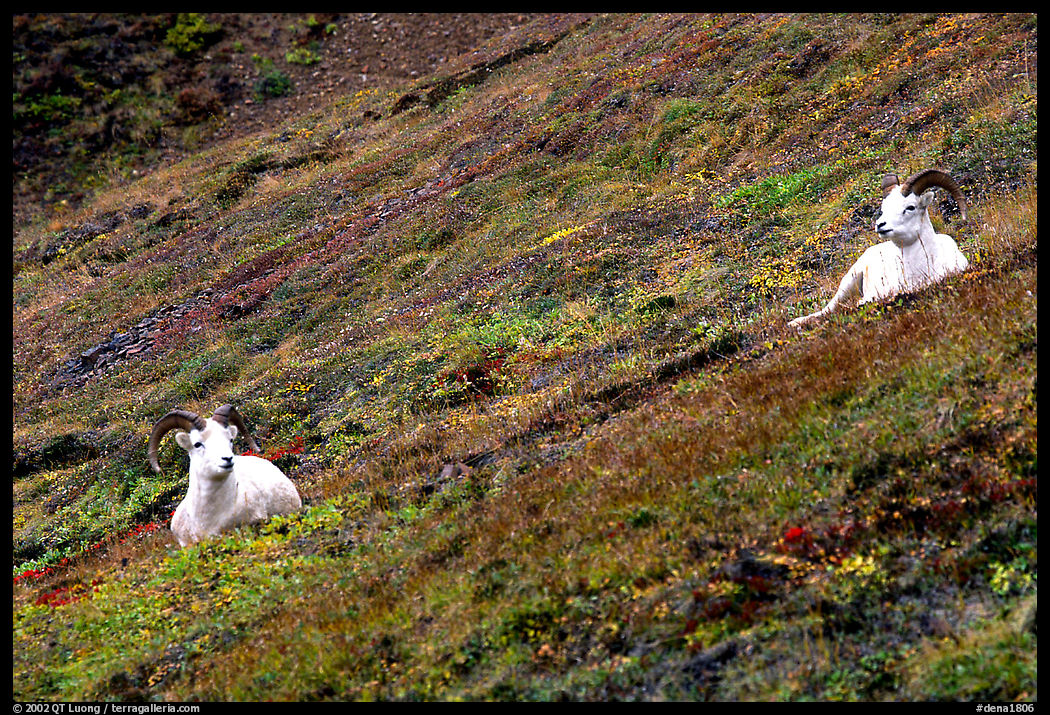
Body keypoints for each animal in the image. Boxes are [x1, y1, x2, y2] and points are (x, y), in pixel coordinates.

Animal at [789, 169, 969, 328]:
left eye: (910, 207)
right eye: (884, 208)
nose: (880, 225)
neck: (921, 270)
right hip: (848, 282)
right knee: (828, 309)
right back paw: (795, 323)